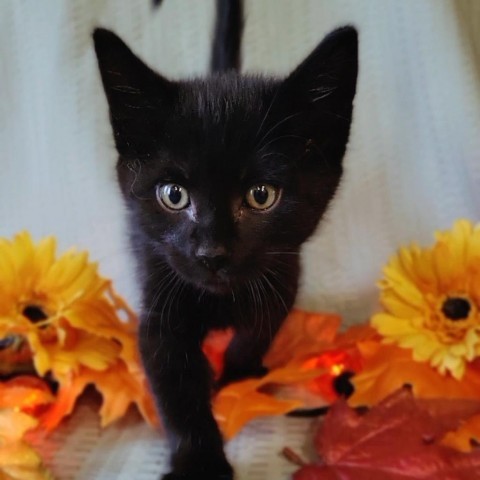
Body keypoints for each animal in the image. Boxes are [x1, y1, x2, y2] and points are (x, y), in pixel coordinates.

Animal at [93, 9, 356, 478]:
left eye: (261, 195)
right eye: (173, 195)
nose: (211, 253)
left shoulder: (283, 277)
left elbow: (257, 331)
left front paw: (236, 381)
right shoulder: (161, 299)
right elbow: (176, 386)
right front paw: (199, 461)